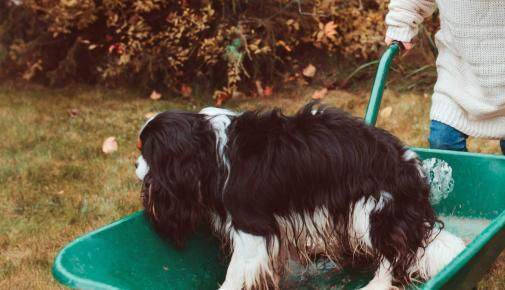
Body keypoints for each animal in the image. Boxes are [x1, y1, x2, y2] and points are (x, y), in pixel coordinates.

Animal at [134, 103, 464, 290]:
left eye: (144, 151)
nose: (134, 165)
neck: (208, 148)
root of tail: (410, 163)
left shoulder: (251, 228)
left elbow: (235, 273)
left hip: (370, 209)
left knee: (395, 253)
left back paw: (378, 284)